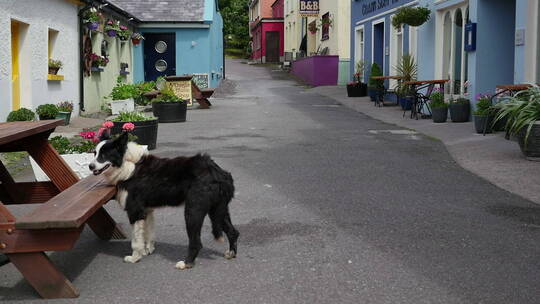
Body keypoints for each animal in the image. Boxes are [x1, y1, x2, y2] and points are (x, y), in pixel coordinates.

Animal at [88, 133, 238, 270]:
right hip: (217, 210)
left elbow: (136, 240)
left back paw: (186, 263)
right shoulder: (147, 210)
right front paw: (147, 250)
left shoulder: (135, 211)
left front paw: (135, 257)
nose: (90, 166)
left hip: (193, 211)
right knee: (233, 232)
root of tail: (217, 172)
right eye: (95, 153)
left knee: (196, 242)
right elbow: (148, 233)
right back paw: (231, 253)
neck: (127, 163)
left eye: (104, 155)